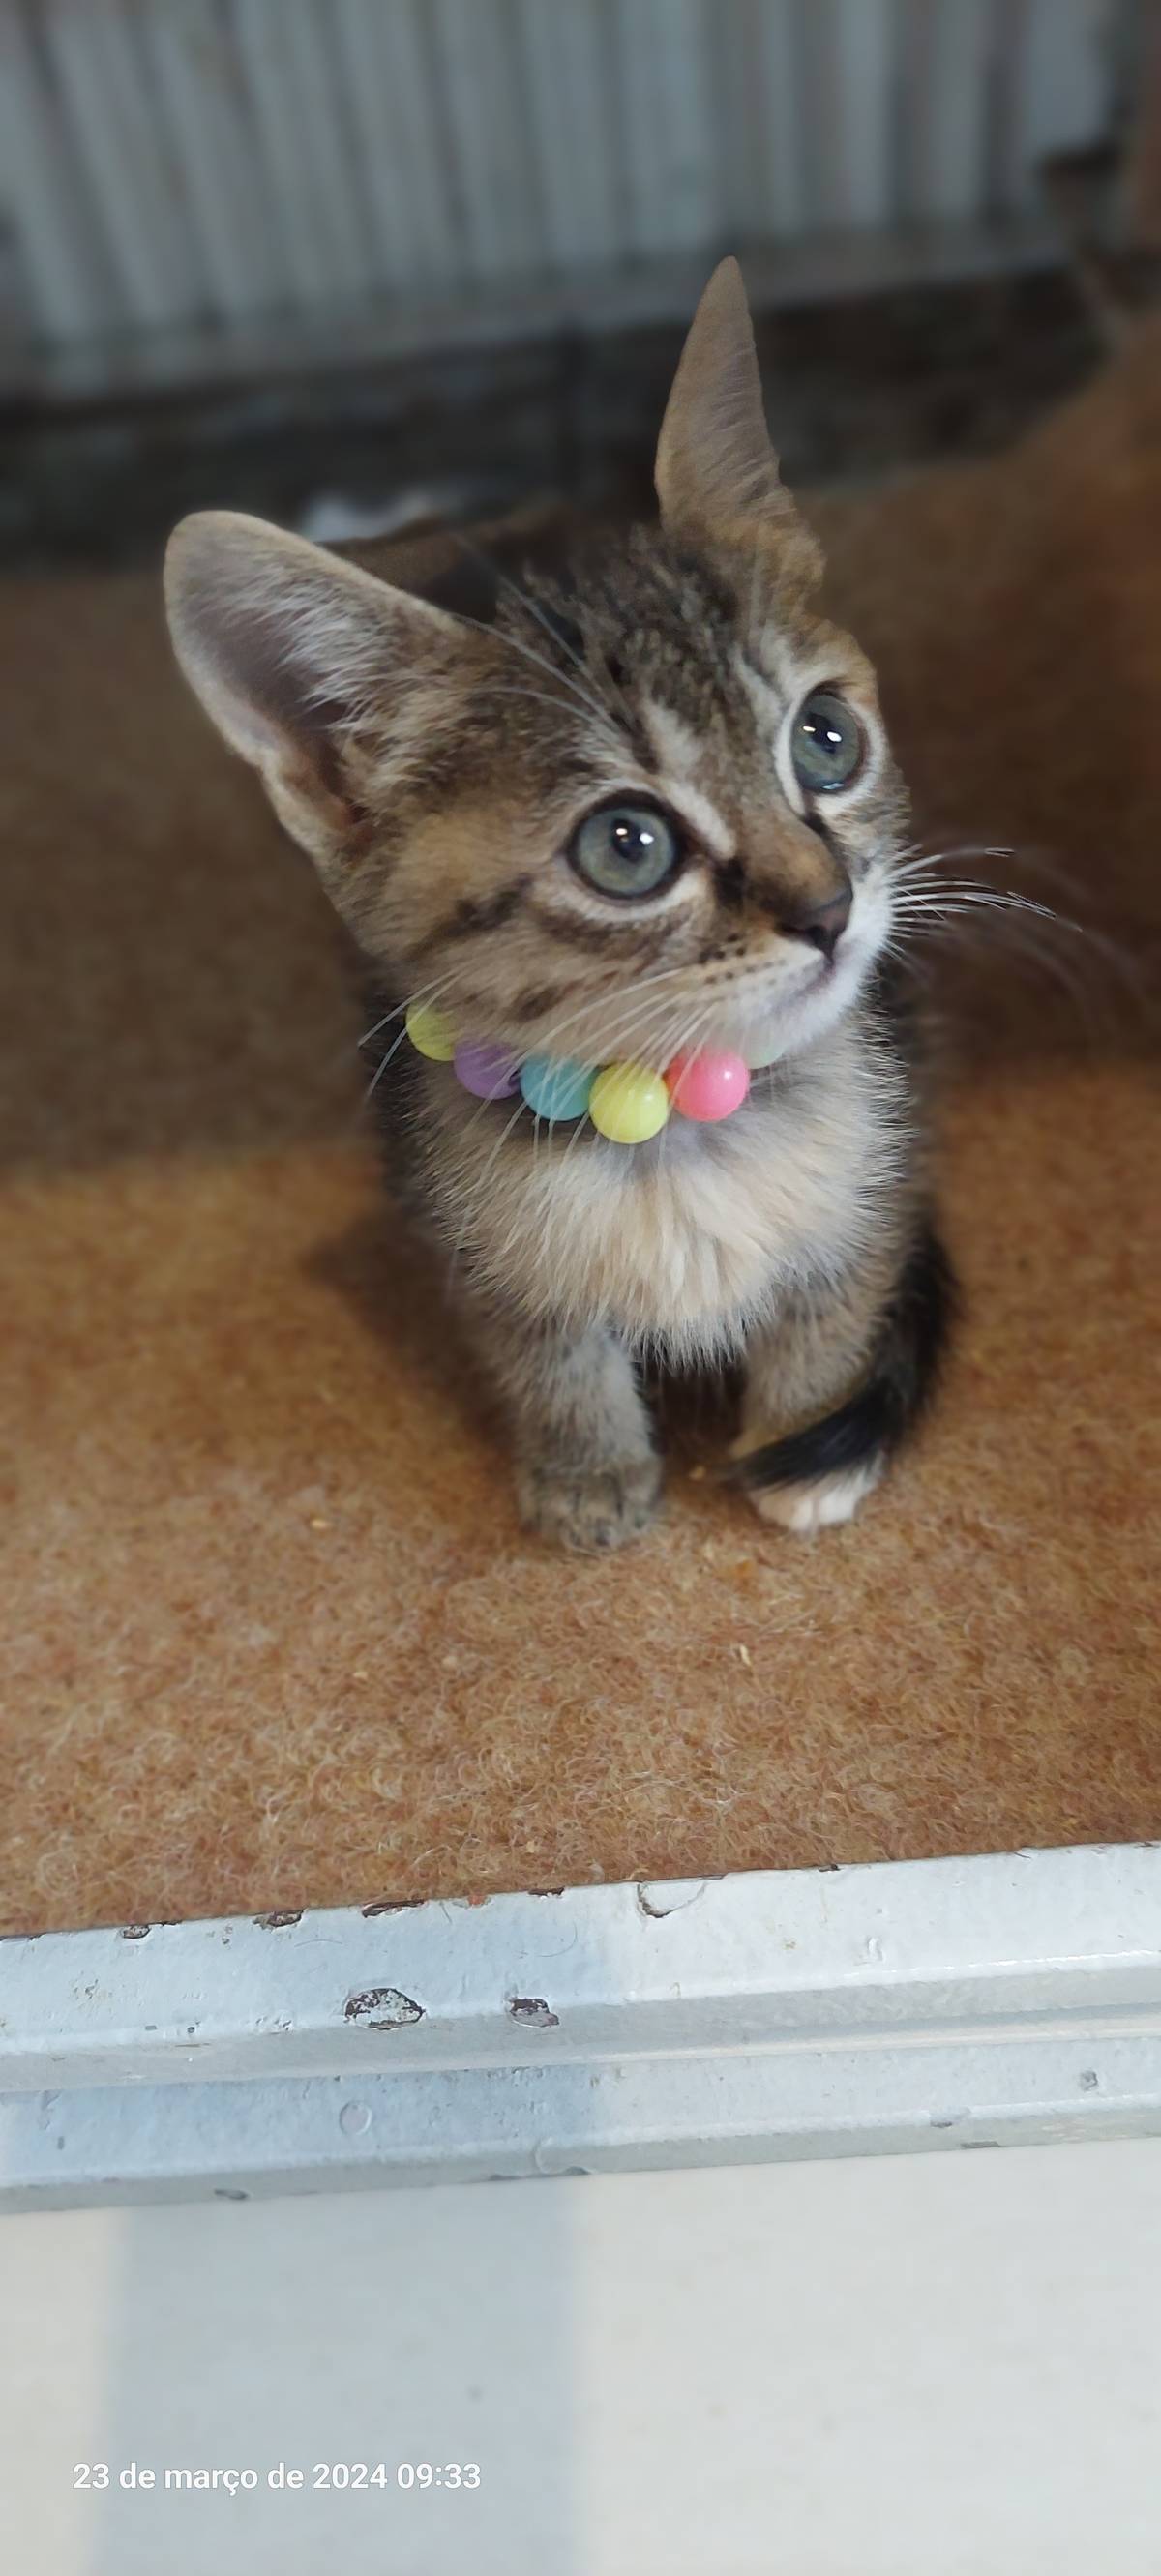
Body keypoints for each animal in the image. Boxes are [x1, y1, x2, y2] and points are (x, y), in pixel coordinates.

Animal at [164, 259, 952, 1554]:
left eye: (826, 740)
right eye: (626, 846)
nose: (831, 906)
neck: (677, 1125)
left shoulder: (884, 1149)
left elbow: (841, 1283)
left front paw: (803, 1444)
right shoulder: (459, 1216)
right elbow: (539, 1338)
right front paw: (587, 1466)